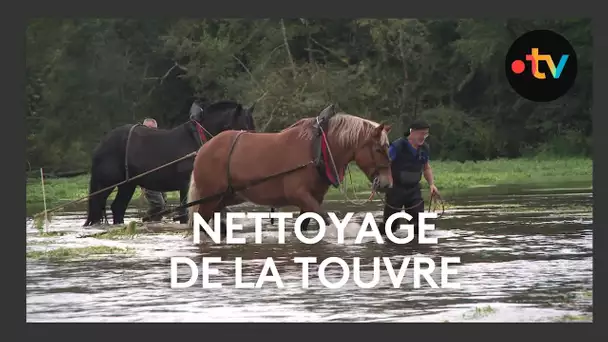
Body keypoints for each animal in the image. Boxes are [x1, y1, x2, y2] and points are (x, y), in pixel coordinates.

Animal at [82, 99, 254, 227]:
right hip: (106, 184)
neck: (198, 140)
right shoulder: (186, 185)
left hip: (127, 185)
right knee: (98, 206)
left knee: (117, 208)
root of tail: (101, 145)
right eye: (244, 128)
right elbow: (185, 214)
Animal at [186, 105, 394, 236]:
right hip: (209, 199)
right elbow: (325, 218)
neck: (317, 148)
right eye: (378, 149)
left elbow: (303, 226)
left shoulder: (312, 198)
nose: (387, 183)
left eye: (387, 147)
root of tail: (202, 150)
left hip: (225, 197)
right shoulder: (300, 195)